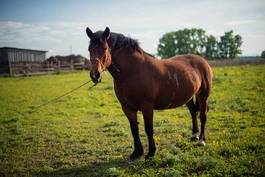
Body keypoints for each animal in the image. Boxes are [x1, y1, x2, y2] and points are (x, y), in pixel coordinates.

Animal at [85, 26, 211, 160]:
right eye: (89, 49)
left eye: (104, 48)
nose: (95, 75)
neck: (132, 70)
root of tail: (202, 60)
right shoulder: (127, 108)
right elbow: (134, 129)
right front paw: (137, 153)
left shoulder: (147, 106)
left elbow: (148, 129)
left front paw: (151, 153)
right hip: (188, 97)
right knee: (193, 112)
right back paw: (194, 135)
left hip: (203, 95)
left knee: (203, 116)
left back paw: (201, 140)